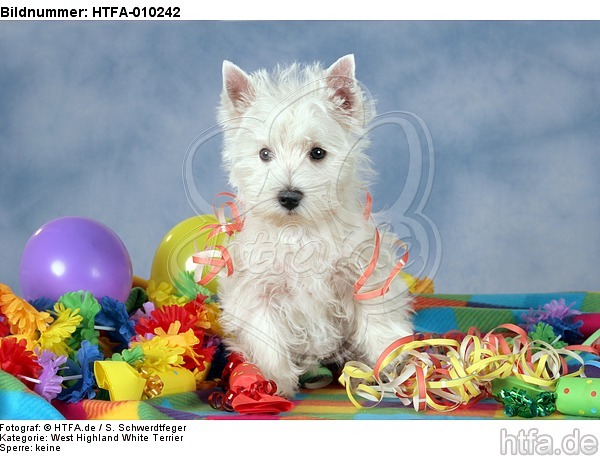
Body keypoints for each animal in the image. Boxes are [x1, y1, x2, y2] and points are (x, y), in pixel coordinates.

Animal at [214, 52, 412, 396]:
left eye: (317, 153)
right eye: (264, 153)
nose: (288, 196)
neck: (299, 230)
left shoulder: (361, 274)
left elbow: (376, 319)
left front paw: (391, 362)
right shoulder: (259, 292)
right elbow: (269, 340)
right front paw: (274, 384)